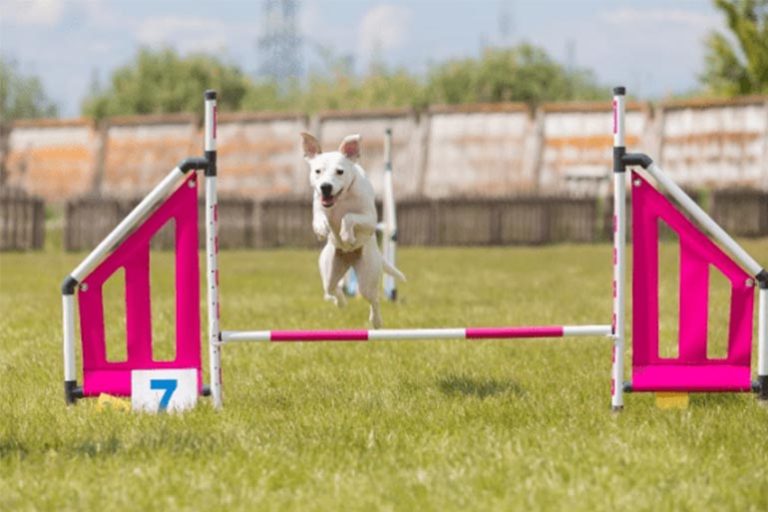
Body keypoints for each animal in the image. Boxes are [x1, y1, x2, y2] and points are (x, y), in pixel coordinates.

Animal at [302, 132, 404, 328]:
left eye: (340, 171)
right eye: (317, 171)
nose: (325, 187)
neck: (342, 197)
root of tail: (349, 260)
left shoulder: (370, 220)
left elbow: (349, 217)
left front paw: (346, 234)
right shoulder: (319, 205)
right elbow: (320, 217)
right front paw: (321, 228)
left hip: (367, 276)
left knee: (373, 298)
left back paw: (376, 321)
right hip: (330, 268)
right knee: (332, 288)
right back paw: (340, 301)